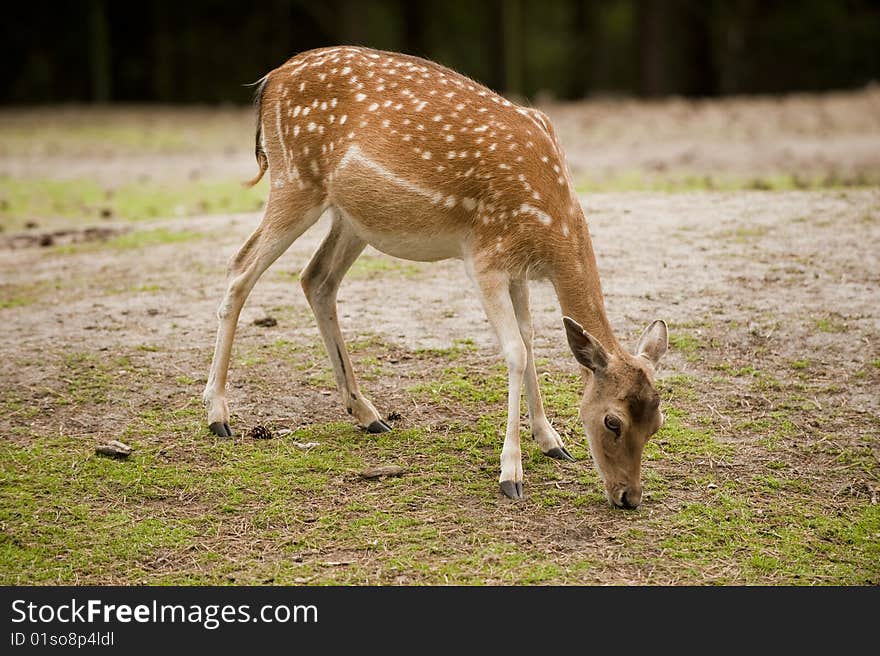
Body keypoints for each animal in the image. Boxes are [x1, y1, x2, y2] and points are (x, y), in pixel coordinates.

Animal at [203, 46, 668, 508]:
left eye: (657, 422)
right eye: (612, 421)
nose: (629, 496)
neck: (550, 227)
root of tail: (270, 81)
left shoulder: (517, 270)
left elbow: (530, 337)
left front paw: (552, 441)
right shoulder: (484, 258)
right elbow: (516, 351)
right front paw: (511, 474)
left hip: (352, 218)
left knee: (316, 278)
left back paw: (367, 414)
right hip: (295, 180)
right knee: (240, 267)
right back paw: (217, 415)